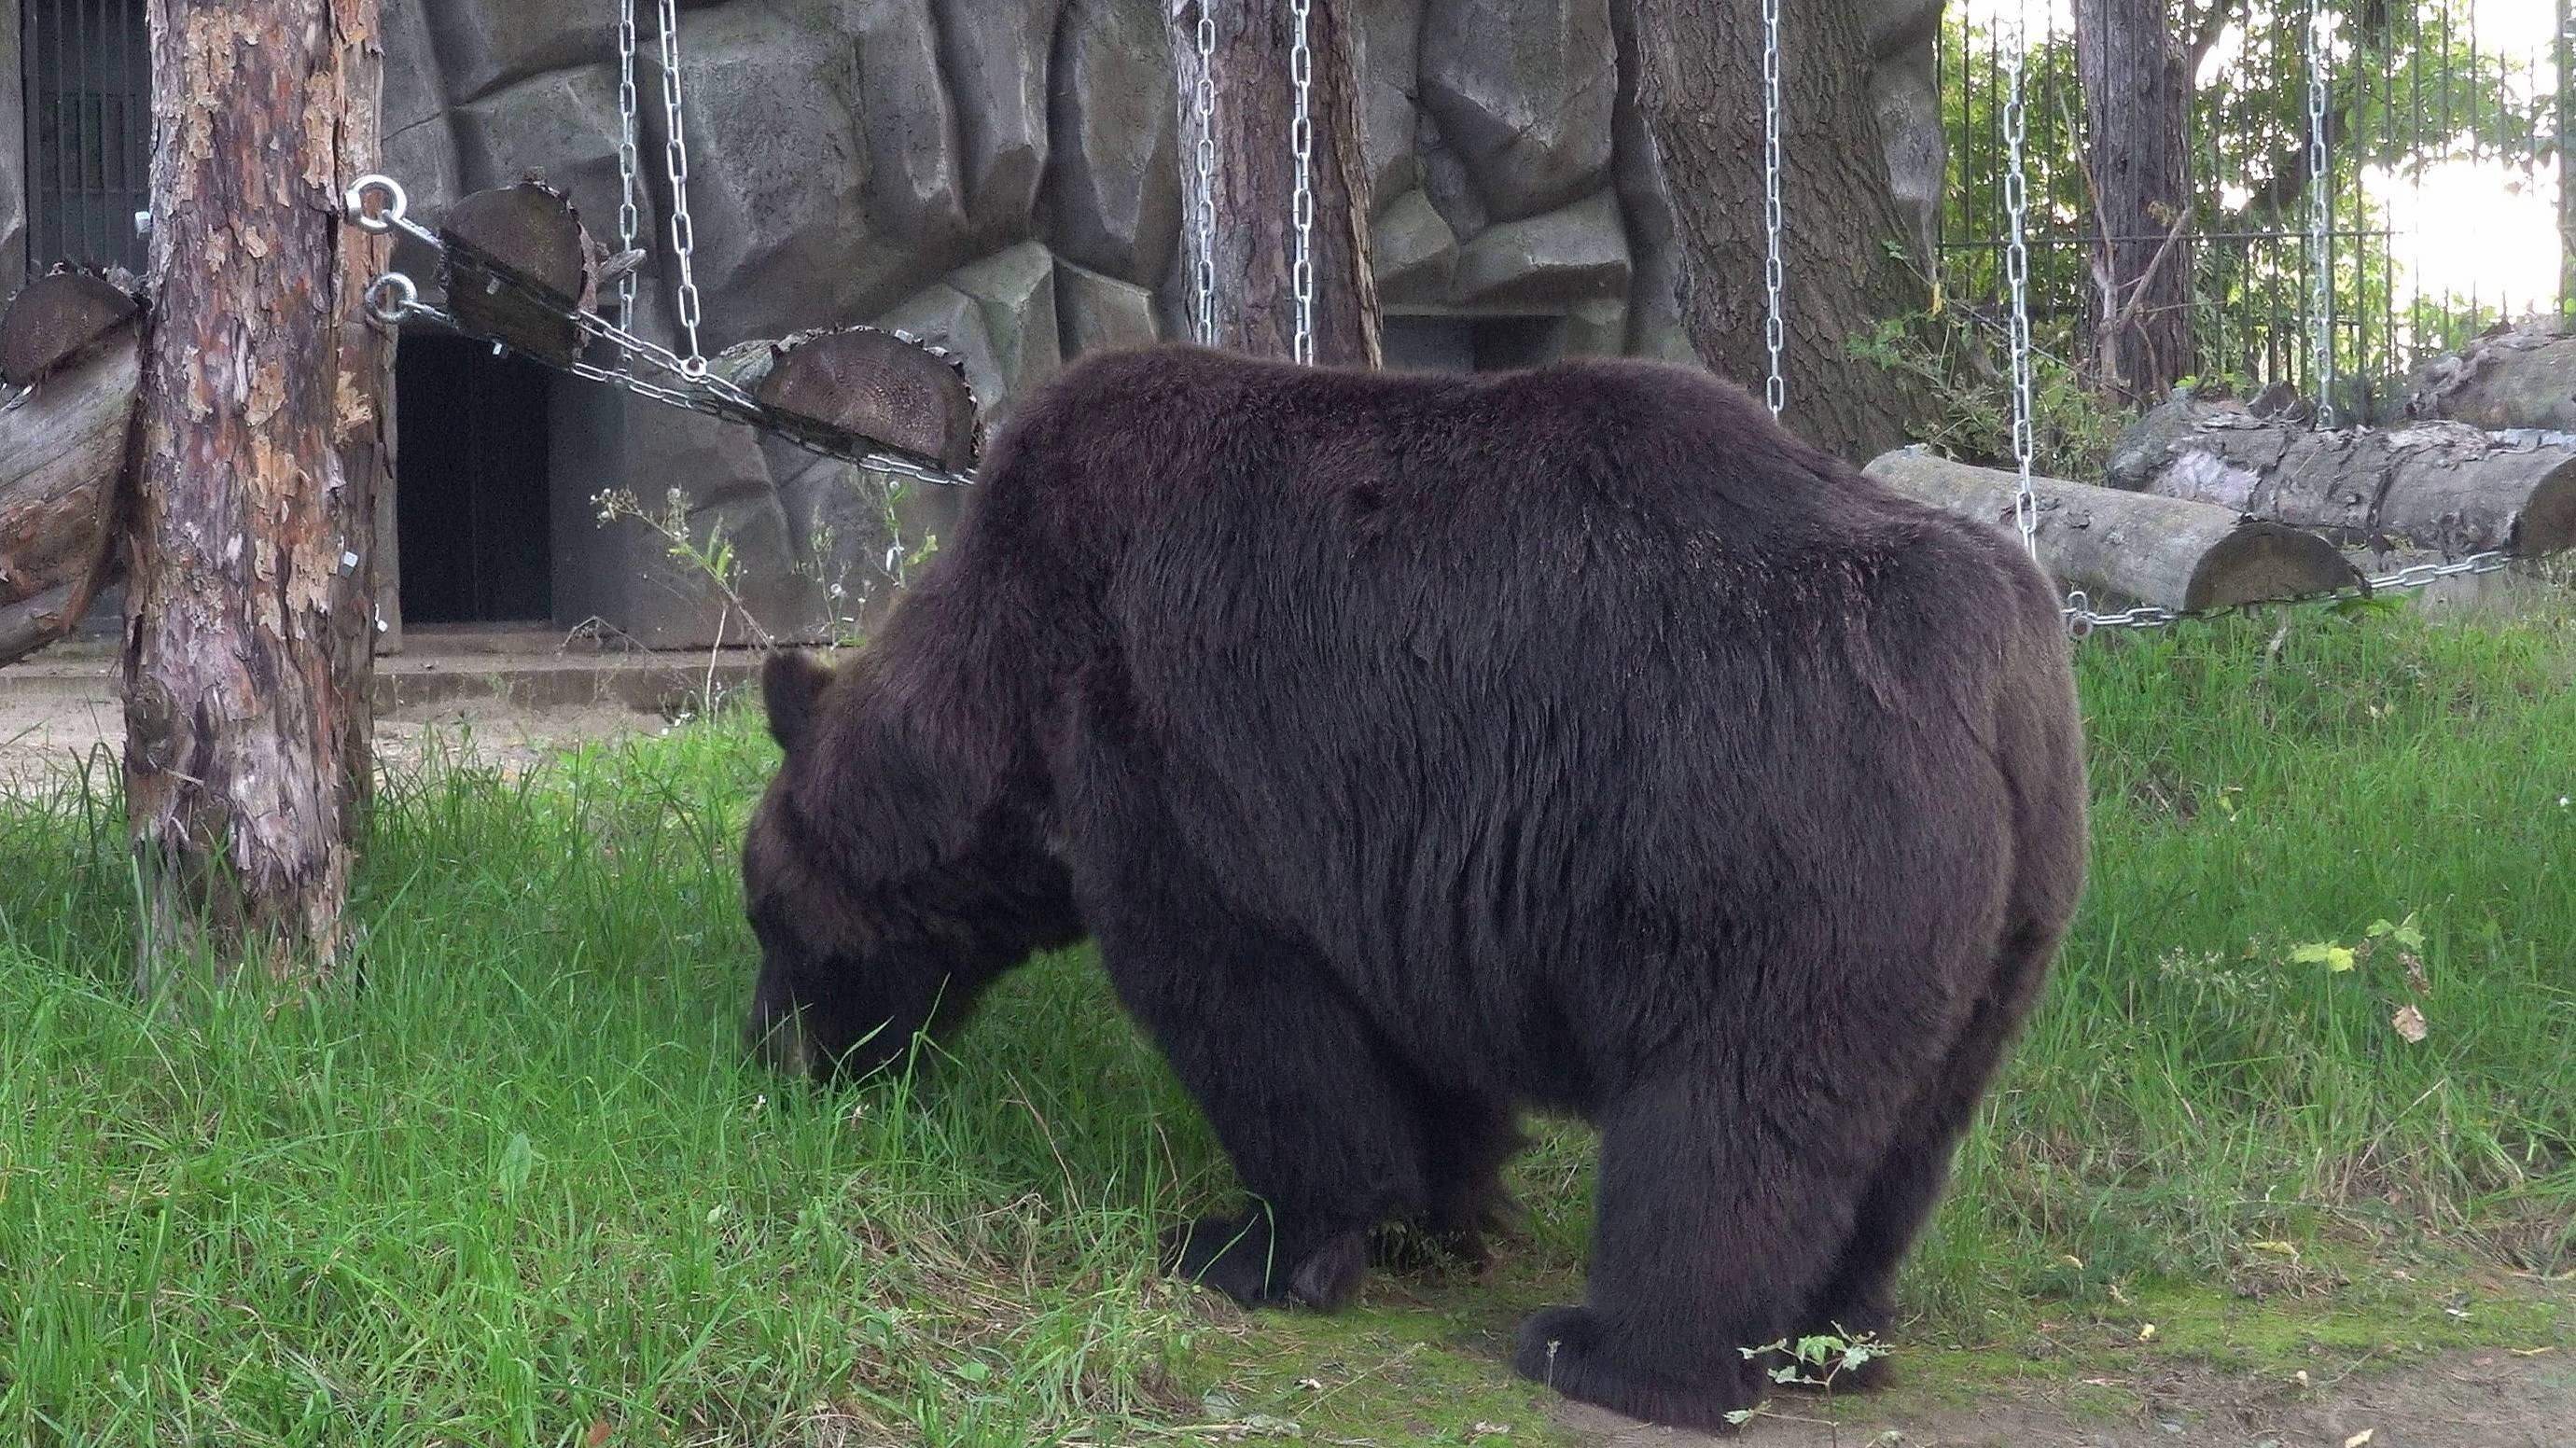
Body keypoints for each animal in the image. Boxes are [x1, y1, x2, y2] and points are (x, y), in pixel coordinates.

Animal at [736, 342, 2081, 1422]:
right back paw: (1837, 1336)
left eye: (771, 920)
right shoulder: (1391, 869)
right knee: (1908, 1134)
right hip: (2005, 911)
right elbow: (1414, 1049)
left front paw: (1249, 1243)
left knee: (1732, 1108)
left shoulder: (1178, 759)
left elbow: (1248, 1014)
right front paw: (1449, 1207)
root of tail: (1992, 667)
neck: (1008, 676)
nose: (771, 1061)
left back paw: (1614, 1351)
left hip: (1768, 833)